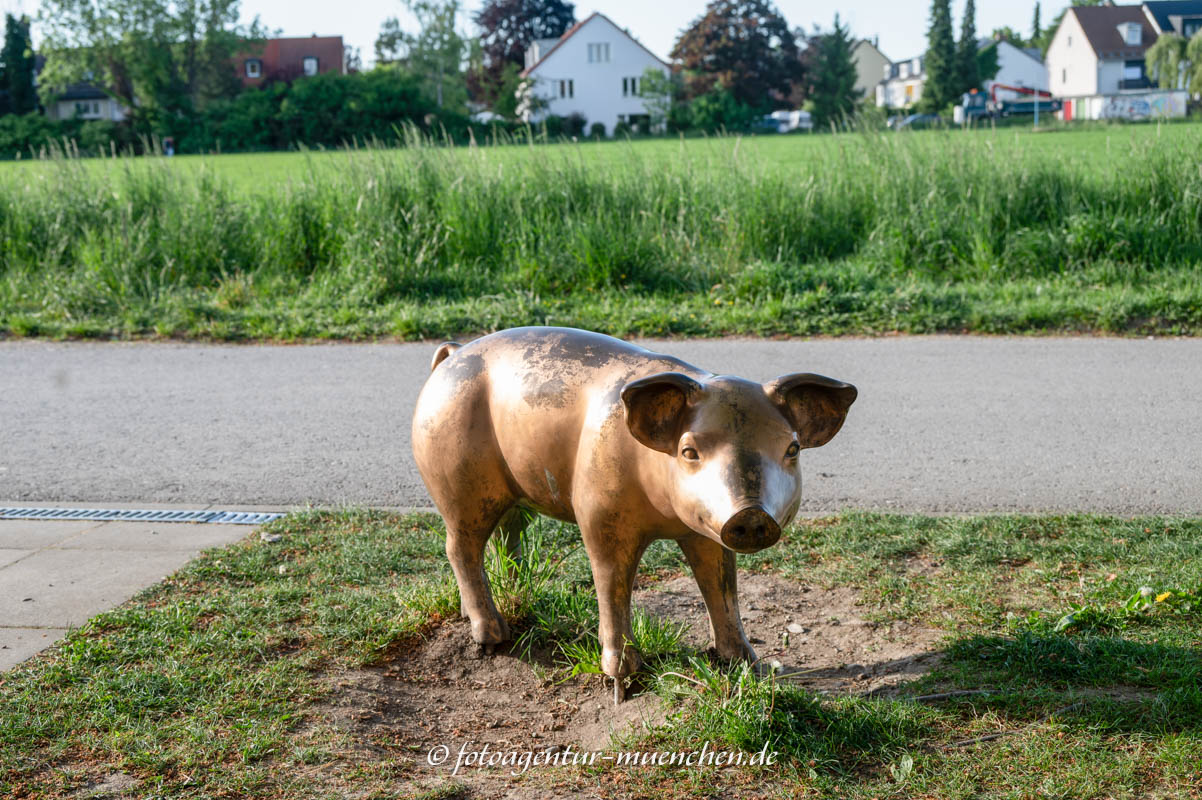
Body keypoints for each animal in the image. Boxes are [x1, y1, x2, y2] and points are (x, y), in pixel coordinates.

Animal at [411, 327, 856, 700]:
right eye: (688, 451)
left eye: (792, 449)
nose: (750, 514)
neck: (664, 515)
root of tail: (452, 354)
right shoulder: (598, 516)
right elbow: (612, 585)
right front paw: (623, 683)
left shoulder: (703, 531)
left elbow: (720, 586)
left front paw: (745, 664)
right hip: (458, 483)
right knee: (459, 547)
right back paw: (492, 639)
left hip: (510, 493)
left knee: (507, 534)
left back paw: (517, 594)